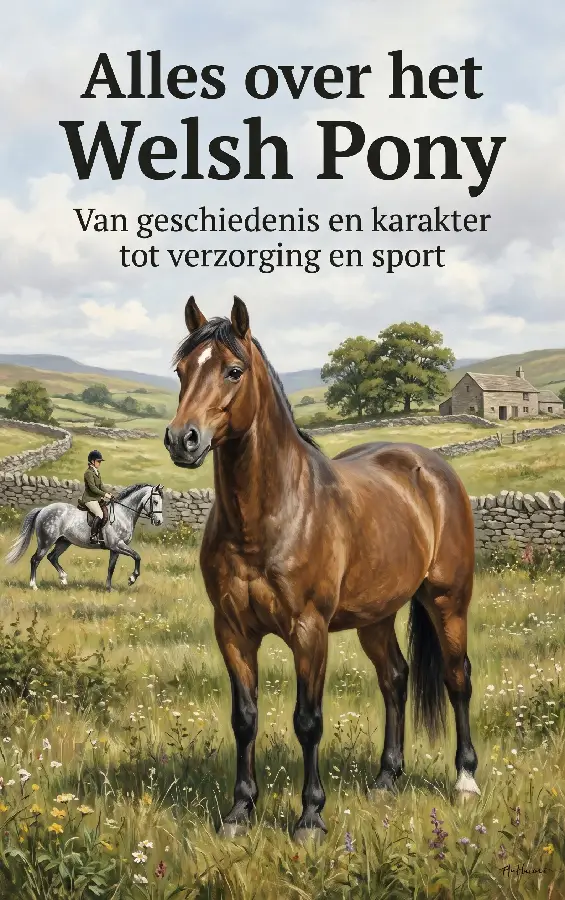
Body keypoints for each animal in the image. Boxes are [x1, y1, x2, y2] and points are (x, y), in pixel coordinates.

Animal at [5, 484, 164, 592]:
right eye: (155, 502)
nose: (159, 522)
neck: (122, 514)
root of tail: (43, 509)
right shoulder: (117, 545)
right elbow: (137, 556)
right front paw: (132, 579)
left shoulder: (115, 549)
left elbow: (111, 568)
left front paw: (108, 588)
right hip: (46, 542)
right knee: (35, 560)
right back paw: (34, 585)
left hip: (63, 542)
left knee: (52, 557)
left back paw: (64, 579)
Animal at [164, 296, 479, 844]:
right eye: (181, 371)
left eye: (233, 371)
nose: (183, 440)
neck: (271, 515)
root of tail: (431, 468)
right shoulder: (232, 631)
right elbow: (244, 718)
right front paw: (239, 812)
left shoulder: (309, 631)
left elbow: (308, 720)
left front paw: (310, 818)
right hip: (376, 616)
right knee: (395, 678)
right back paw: (386, 780)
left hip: (448, 601)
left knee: (457, 678)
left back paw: (465, 780)